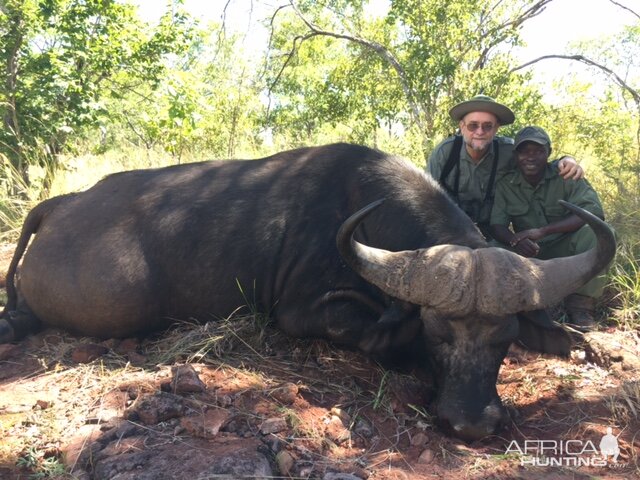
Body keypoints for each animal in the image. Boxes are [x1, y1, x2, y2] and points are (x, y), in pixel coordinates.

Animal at [2, 142, 616, 442]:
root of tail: (62, 205)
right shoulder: (301, 314)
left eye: (505, 339)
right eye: (437, 334)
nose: (472, 425)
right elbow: (375, 335)